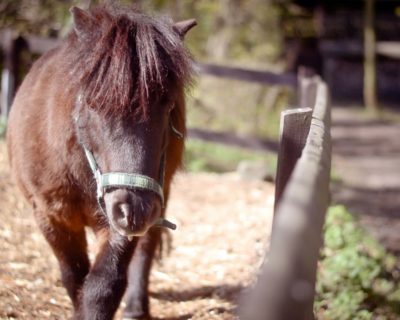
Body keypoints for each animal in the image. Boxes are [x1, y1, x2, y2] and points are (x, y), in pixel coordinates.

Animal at [5, 5, 194, 320]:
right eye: (93, 103)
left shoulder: (121, 218)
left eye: (169, 105)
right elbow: (74, 277)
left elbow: (103, 286)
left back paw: (136, 308)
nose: (135, 210)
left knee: (146, 248)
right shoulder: (51, 216)